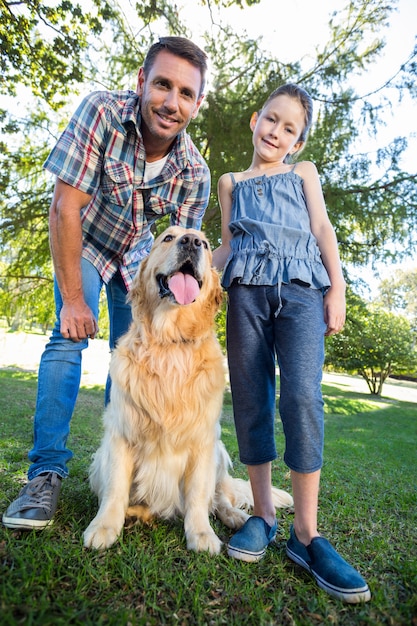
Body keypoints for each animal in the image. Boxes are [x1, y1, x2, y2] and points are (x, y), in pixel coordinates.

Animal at [83, 224, 292, 552]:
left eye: (204, 244)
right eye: (167, 238)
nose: (191, 242)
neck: (171, 342)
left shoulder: (203, 441)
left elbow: (197, 497)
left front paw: (201, 534)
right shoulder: (120, 433)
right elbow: (115, 488)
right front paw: (104, 526)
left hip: (219, 454)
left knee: (219, 498)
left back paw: (235, 517)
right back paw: (137, 512)